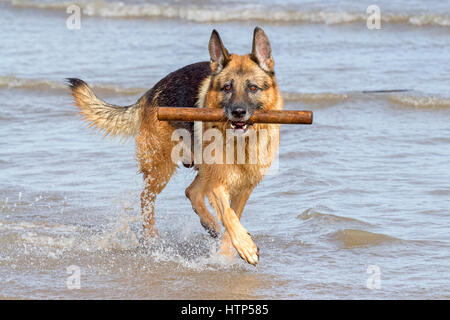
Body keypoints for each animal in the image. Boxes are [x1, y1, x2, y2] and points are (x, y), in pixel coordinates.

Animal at [67, 26, 282, 264]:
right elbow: (228, 215)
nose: (238, 112)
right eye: (227, 88)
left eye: (252, 88)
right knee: (147, 199)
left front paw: (227, 253)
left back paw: (209, 224)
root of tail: (150, 92)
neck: (240, 144)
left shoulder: (244, 188)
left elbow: (233, 217)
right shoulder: (217, 183)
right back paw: (151, 237)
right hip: (162, 168)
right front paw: (244, 246)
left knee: (192, 192)